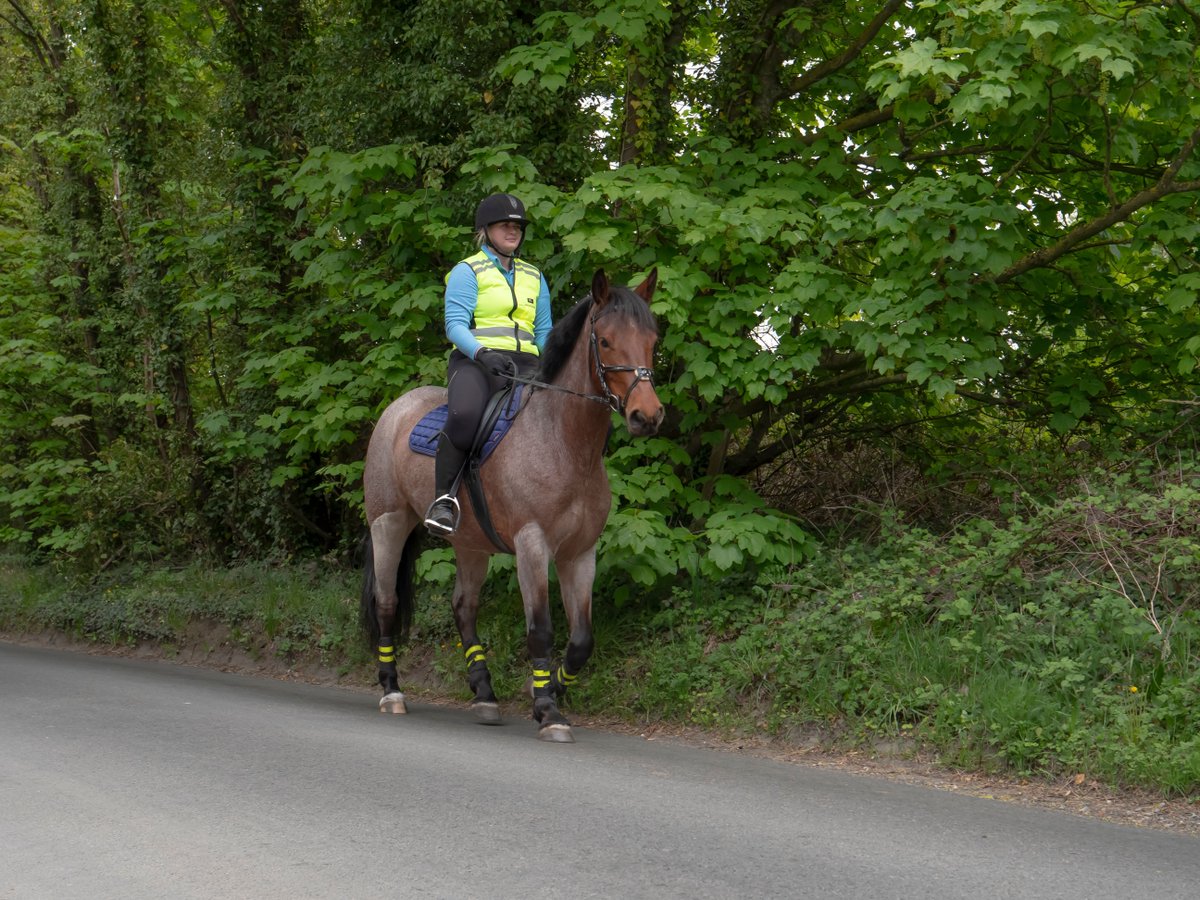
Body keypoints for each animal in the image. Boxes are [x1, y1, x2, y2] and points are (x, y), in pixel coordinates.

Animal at [360, 270, 662, 748]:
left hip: (469, 544)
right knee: (387, 602)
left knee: (463, 607)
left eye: (652, 339)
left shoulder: (580, 554)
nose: (646, 415)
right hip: (388, 524)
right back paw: (392, 690)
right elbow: (540, 630)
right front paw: (549, 711)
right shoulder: (532, 545)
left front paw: (547, 689)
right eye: (606, 340)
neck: (563, 442)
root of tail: (395, 409)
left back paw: (484, 694)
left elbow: (582, 640)